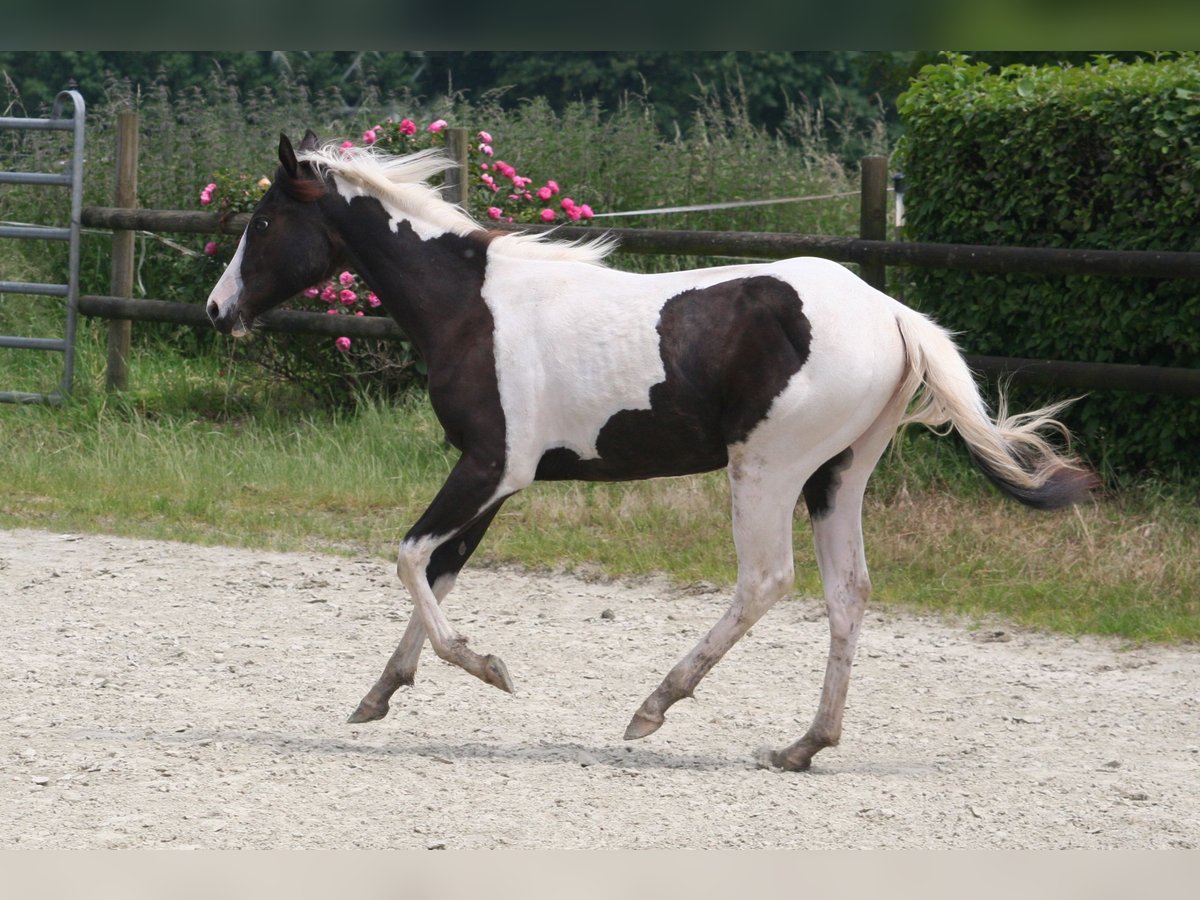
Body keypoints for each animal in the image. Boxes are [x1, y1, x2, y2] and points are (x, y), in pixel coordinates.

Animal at [208, 133, 1099, 777]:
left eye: (263, 224)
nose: (218, 310)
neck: (472, 308)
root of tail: (892, 313)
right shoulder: (495, 484)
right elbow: (439, 569)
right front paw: (381, 694)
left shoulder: (492, 467)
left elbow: (407, 556)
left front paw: (487, 667)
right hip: (836, 478)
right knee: (848, 594)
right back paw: (801, 747)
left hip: (767, 469)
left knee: (765, 581)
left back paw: (654, 707)